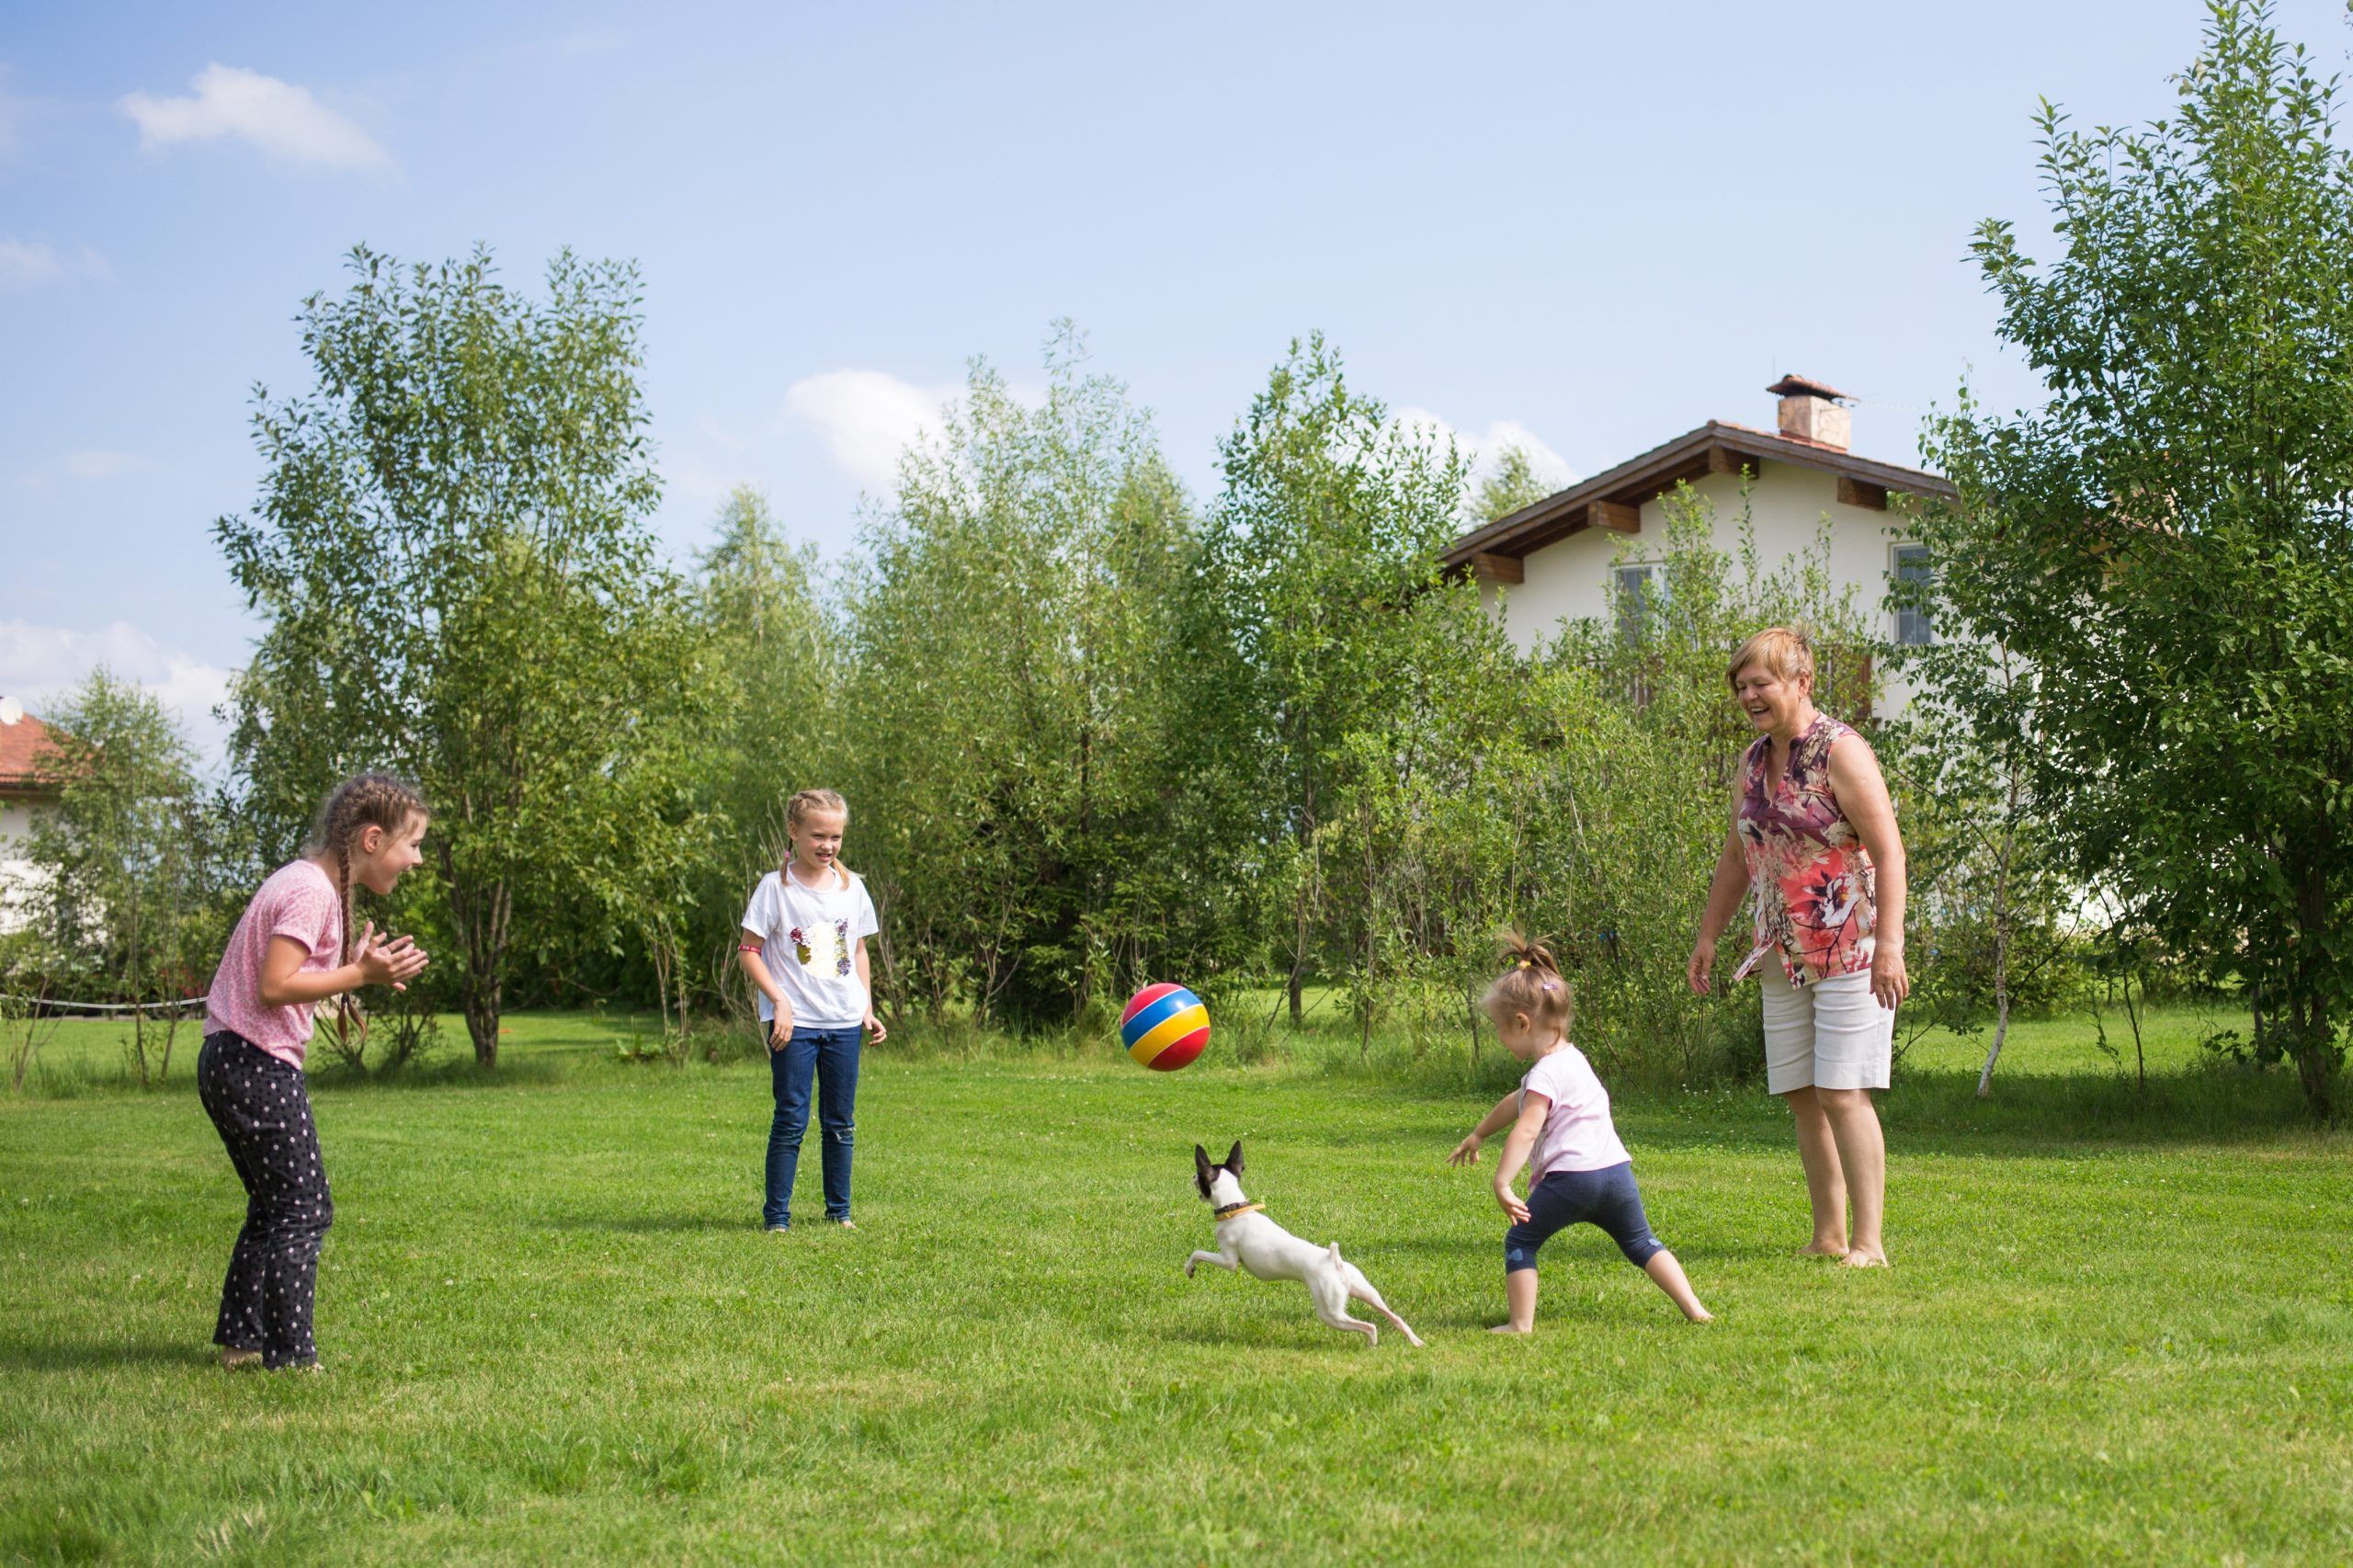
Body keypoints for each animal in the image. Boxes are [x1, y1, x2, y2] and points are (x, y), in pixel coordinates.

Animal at [1186, 1134, 1421, 1346]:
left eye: (1198, 1176)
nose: (1192, 1177)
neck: (1234, 1208)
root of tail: (1333, 1261)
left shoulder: (1229, 1261)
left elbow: (1198, 1253)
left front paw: (1189, 1269)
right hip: (1367, 1292)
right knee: (1395, 1317)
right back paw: (1416, 1342)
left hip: (1330, 1312)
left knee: (1369, 1326)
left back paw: (1372, 1345)